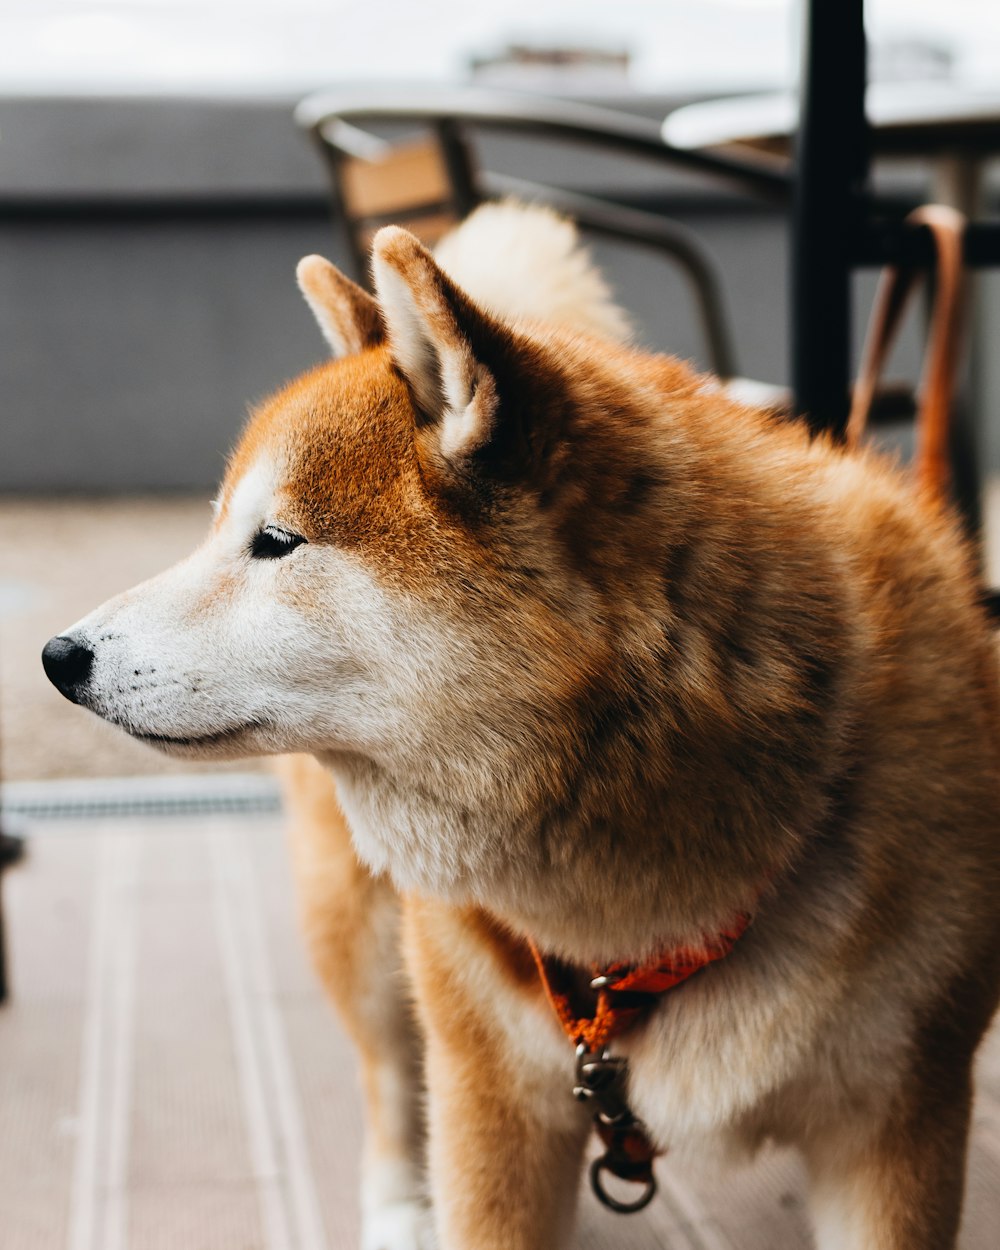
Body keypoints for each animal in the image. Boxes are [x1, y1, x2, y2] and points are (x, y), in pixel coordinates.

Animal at [45, 200, 1000, 1245]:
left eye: (276, 541)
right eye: (218, 529)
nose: (58, 656)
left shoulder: (896, 1116)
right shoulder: (491, 1098)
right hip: (367, 940)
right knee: (389, 1083)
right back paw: (399, 1210)